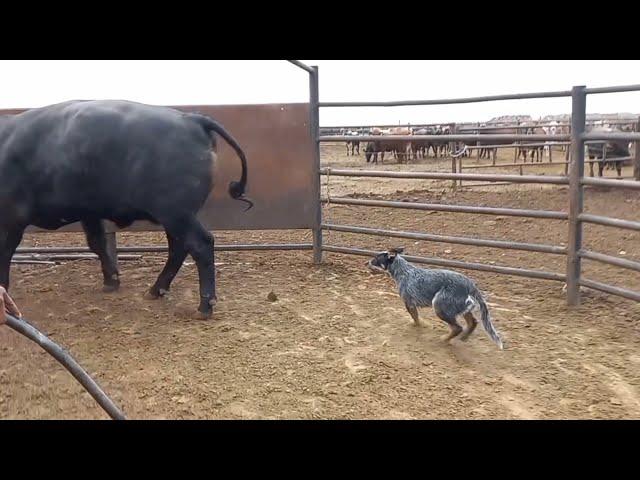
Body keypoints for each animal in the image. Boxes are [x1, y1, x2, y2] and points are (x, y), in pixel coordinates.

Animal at [0, 100, 250, 318]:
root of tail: (191, 119)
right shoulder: (89, 212)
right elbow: (97, 243)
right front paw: (111, 281)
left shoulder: (11, 218)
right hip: (174, 217)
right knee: (179, 248)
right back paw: (156, 290)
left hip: (176, 214)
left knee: (200, 244)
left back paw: (204, 306)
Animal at [370, 248, 504, 348]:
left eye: (376, 258)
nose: (367, 262)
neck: (403, 271)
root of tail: (471, 285)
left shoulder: (409, 303)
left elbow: (415, 318)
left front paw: (418, 326)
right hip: (463, 308)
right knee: (473, 322)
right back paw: (463, 338)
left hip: (440, 306)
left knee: (457, 328)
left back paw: (444, 339)